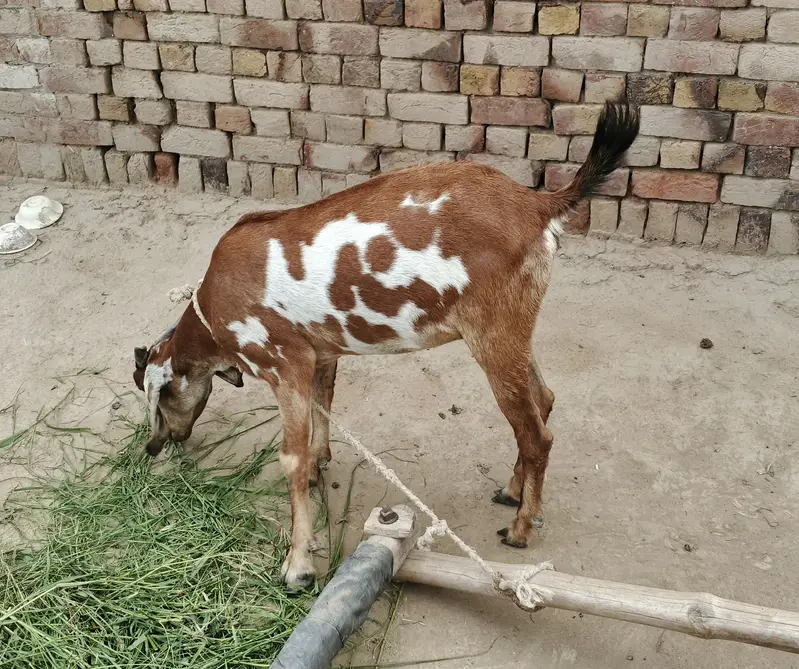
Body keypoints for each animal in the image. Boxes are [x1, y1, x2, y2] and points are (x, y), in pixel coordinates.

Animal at [134, 100, 640, 590]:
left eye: (160, 398)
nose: (158, 445)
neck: (215, 308)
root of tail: (536, 204)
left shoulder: (284, 364)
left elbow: (289, 458)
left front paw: (298, 565)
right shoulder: (319, 355)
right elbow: (324, 406)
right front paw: (320, 464)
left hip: (494, 333)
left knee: (536, 434)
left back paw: (520, 528)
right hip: (513, 326)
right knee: (543, 399)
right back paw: (513, 492)